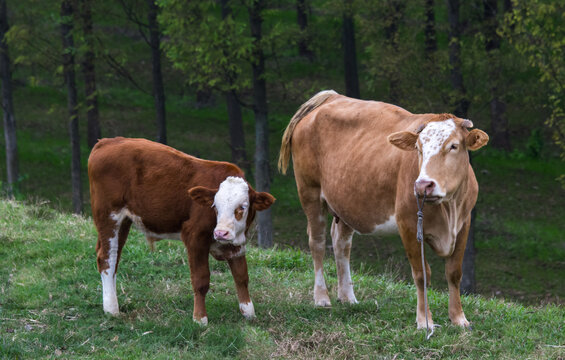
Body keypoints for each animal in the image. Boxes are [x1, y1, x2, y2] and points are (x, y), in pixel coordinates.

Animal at [88, 136, 276, 324]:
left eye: (242, 207)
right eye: (215, 206)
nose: (220, 233)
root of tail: (107, 142)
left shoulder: (237, 244)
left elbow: (241, 276)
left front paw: (249, 312)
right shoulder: (195, 236)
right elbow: (201, 280)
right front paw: (200, 319)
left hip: (124, 221)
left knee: (114, 256)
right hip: (108, 215)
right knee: (107, 258)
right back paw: (112, 309)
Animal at [278, 90, 490, 330]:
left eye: (453, 146)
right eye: (418, 149)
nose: (423, 185)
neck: (449, 208)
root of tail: (331, 96)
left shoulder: (464, 224)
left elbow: (454, 272)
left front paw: (458, 318)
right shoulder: (408, 224)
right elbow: (421, 273)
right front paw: (424, 321)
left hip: (348, 201)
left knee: (341, 243)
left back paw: (347, 296)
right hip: (309, 191)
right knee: (317, 243)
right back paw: (322, 297)